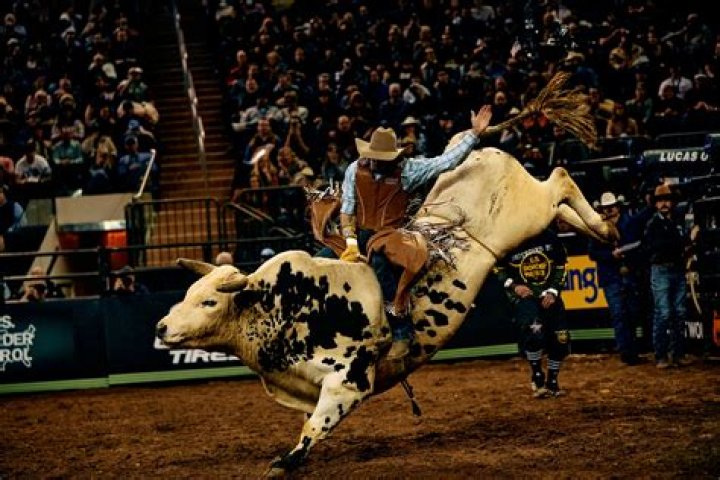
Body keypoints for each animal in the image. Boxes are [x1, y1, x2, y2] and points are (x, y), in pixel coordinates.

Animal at [156, 145, 618, 476]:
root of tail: (481, 153)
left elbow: (314, 426)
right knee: (560, 205)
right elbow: (309, 421)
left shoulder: (349, 380)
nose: (161, 327)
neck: (285, 304)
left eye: (209, 301)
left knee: (560, 180)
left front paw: (285, 462)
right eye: (189, 292)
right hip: (530, 222)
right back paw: (599, 229)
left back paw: (606, 227)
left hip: (527, 212)